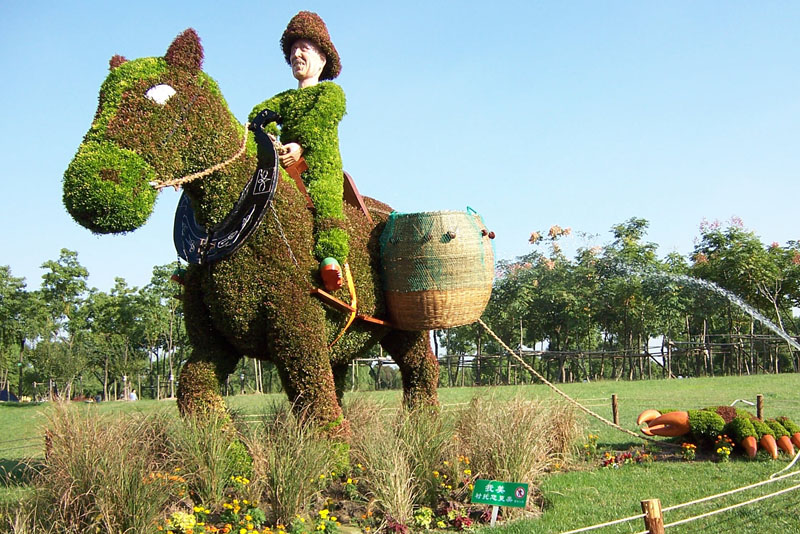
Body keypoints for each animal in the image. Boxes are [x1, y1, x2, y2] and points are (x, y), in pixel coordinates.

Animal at [61, 28, 438, 432]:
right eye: (102, 98)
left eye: (161, 96)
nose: (93, 186)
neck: (239, 226)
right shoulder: (215, 344)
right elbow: (194, 389)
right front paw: (228, 445)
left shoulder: (297, 334)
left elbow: (316, 406)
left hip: (405, 329)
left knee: (421, 372)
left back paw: (421, 434)